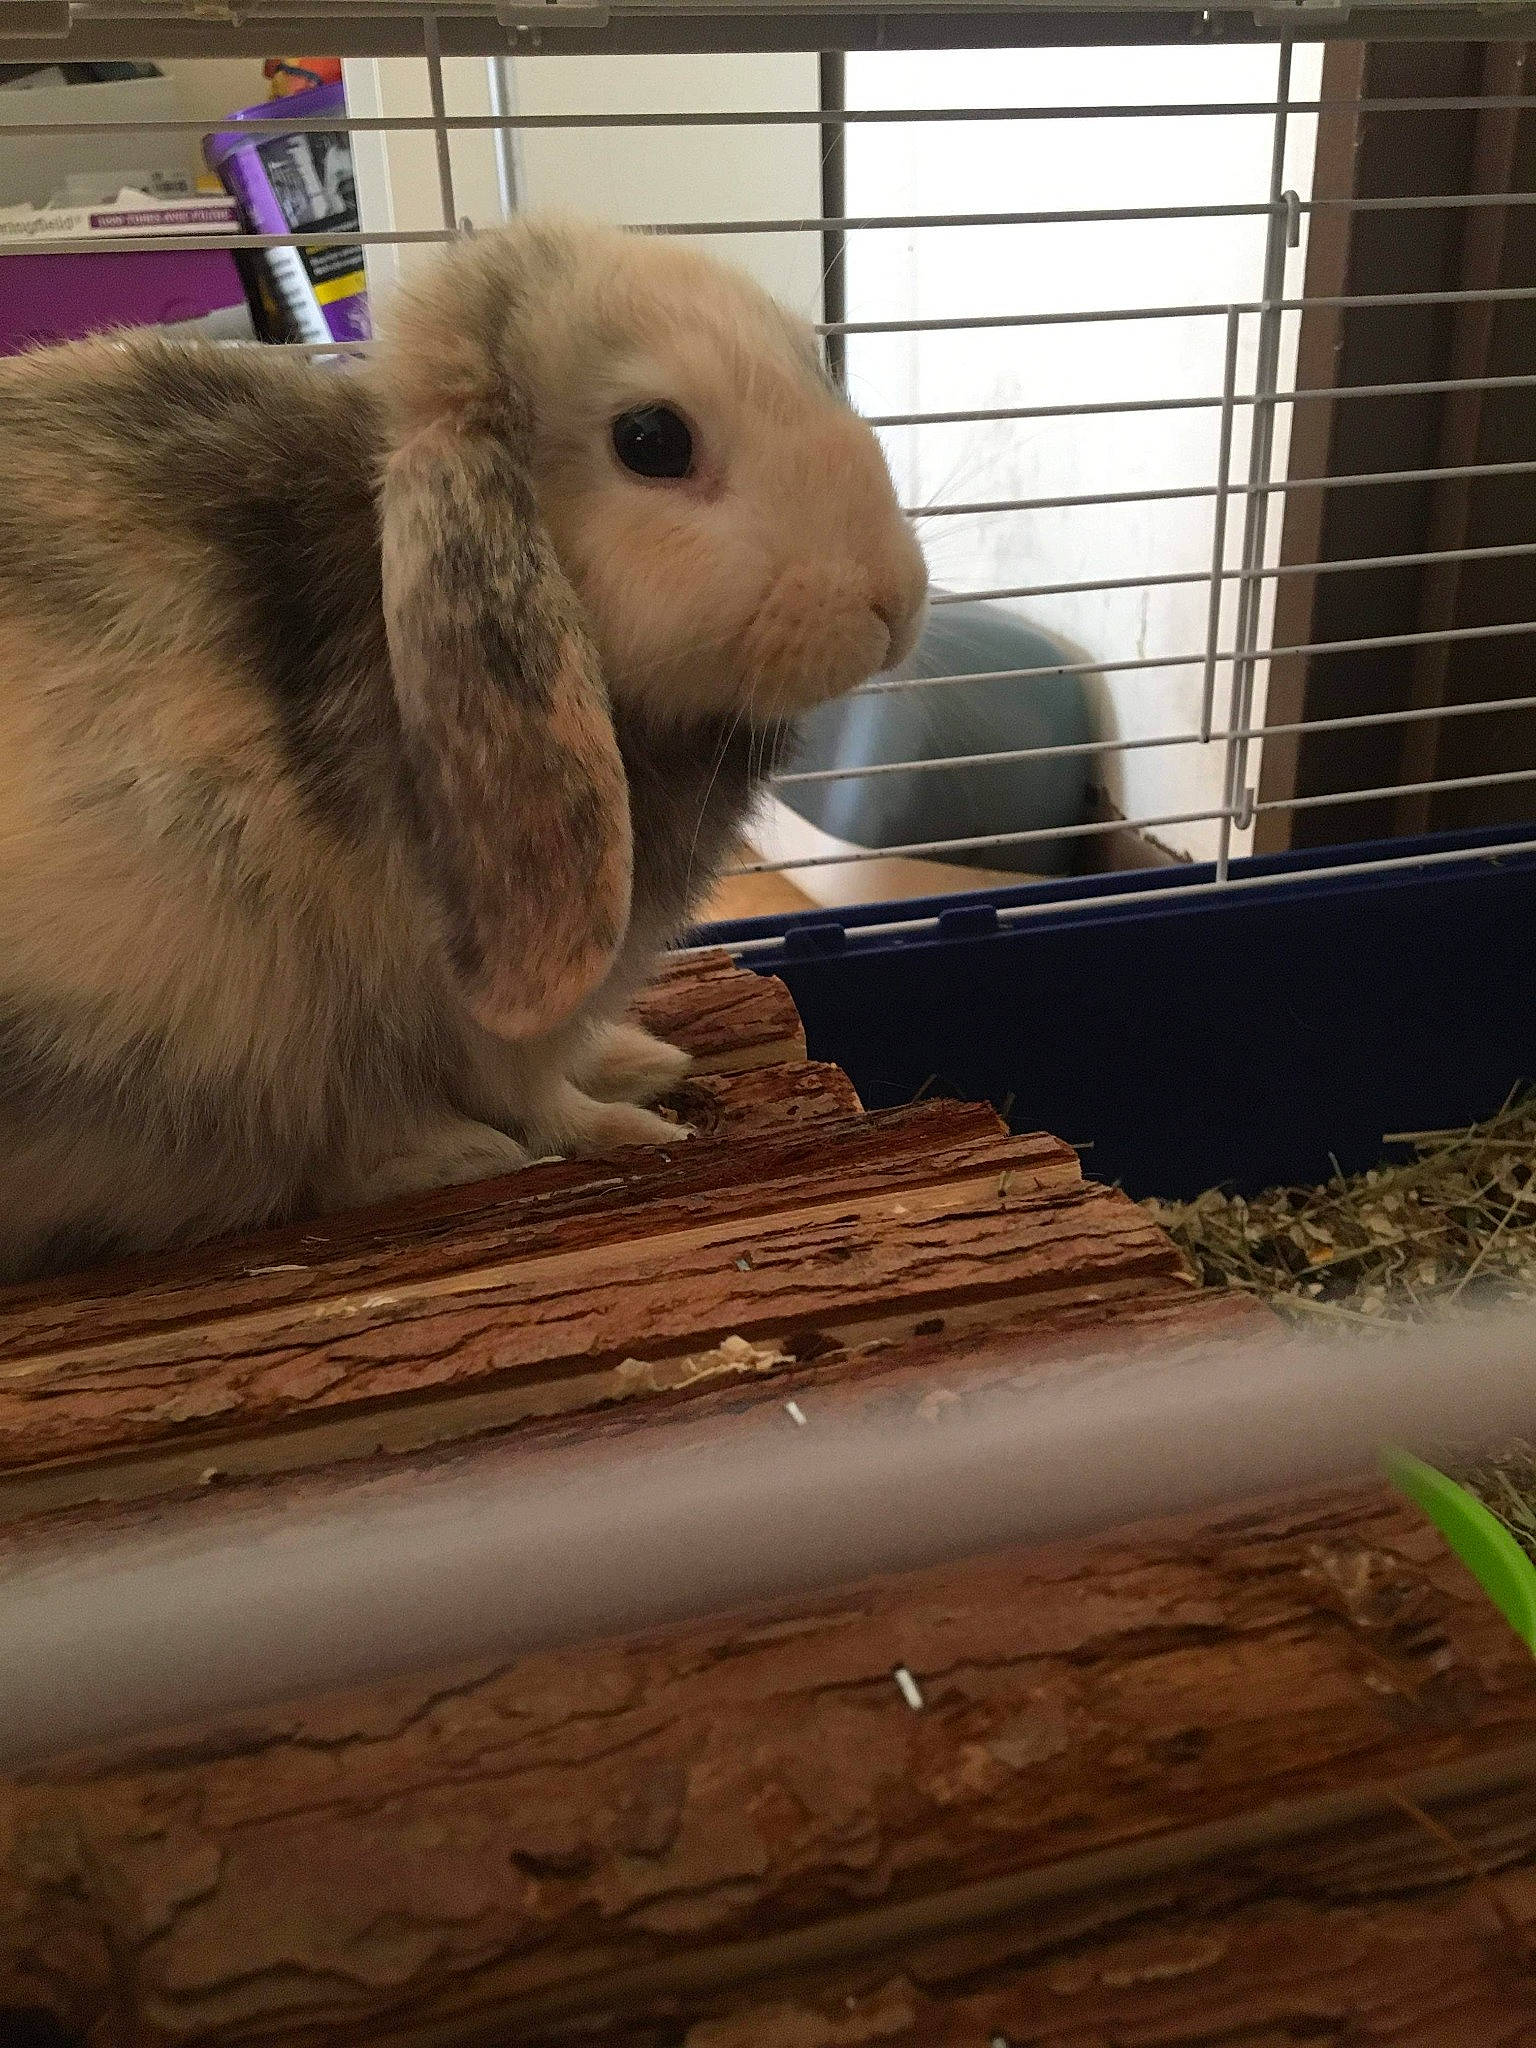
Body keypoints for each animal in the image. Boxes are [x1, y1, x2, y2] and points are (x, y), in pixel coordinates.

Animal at [0, 216, 927, 1281]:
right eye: (652, 440)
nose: (896, 599)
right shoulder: (471, 1010)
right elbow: (530, 1089)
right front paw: (631, 1129)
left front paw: (639, 1058)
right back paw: (451, 1158)